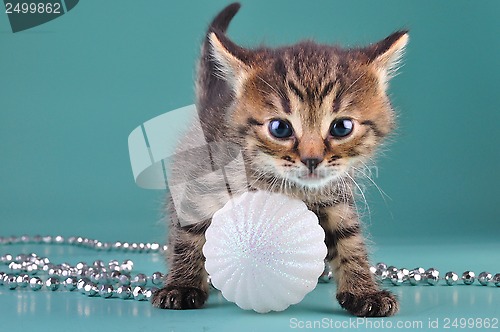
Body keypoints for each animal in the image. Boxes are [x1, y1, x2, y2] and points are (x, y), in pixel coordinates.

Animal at [151, 2, 406, 316]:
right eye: (280, 128)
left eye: (342, 127)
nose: (312, 159)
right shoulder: (201, 186)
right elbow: (188, 236)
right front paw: (181, 285)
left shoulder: (337, 196)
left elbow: (350, 239)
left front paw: (363, 290)